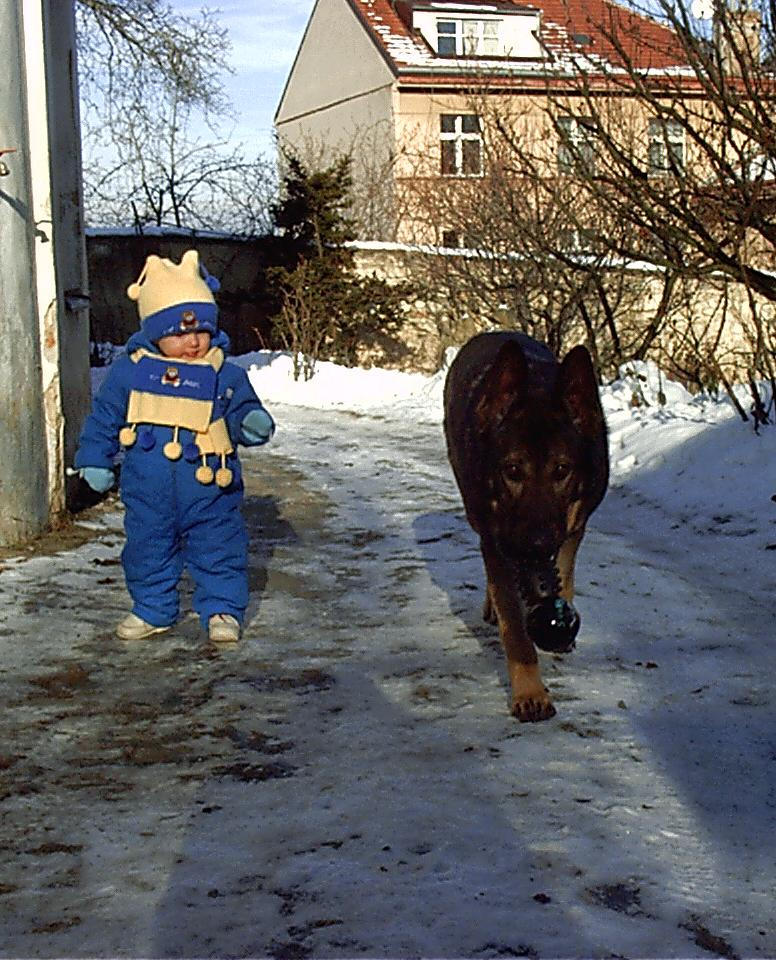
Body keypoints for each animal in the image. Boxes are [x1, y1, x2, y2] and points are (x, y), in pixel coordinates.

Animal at [446, 334, 608, 724]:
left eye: (562, 469)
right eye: (513, 470)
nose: (535, 545)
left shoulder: (572, 528)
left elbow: (562, 573)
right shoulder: (497, 539)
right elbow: (515, 629)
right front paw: (530, 693)